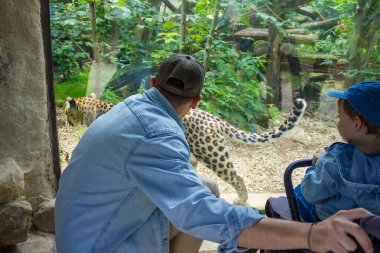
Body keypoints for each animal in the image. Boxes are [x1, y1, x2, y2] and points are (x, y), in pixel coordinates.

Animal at [64, 95, 306, 204]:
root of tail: (213, 118)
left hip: (213, 154)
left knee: (236, 176)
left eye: (66, 111)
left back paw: (242, 200)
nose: (64, 121)